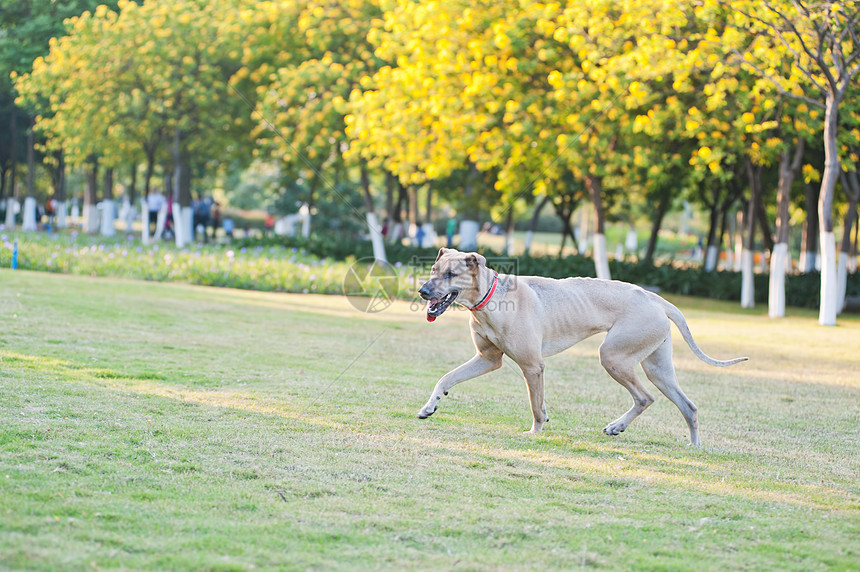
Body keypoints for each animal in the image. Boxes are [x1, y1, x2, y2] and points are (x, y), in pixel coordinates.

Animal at [416, 248, 744, 444]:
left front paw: (535, 432)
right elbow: (446, 378)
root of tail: (655, 298)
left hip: (613, 356)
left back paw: (617, 426)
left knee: (644, 397)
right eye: (433, 269)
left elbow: (535, 407)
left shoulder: (533, 366)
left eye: (450, 274)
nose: (422, 291)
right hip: (657, 367)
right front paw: (430, 406)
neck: (491, 297)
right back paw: (693, 445)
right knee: (688, 406)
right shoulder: (487, 359)